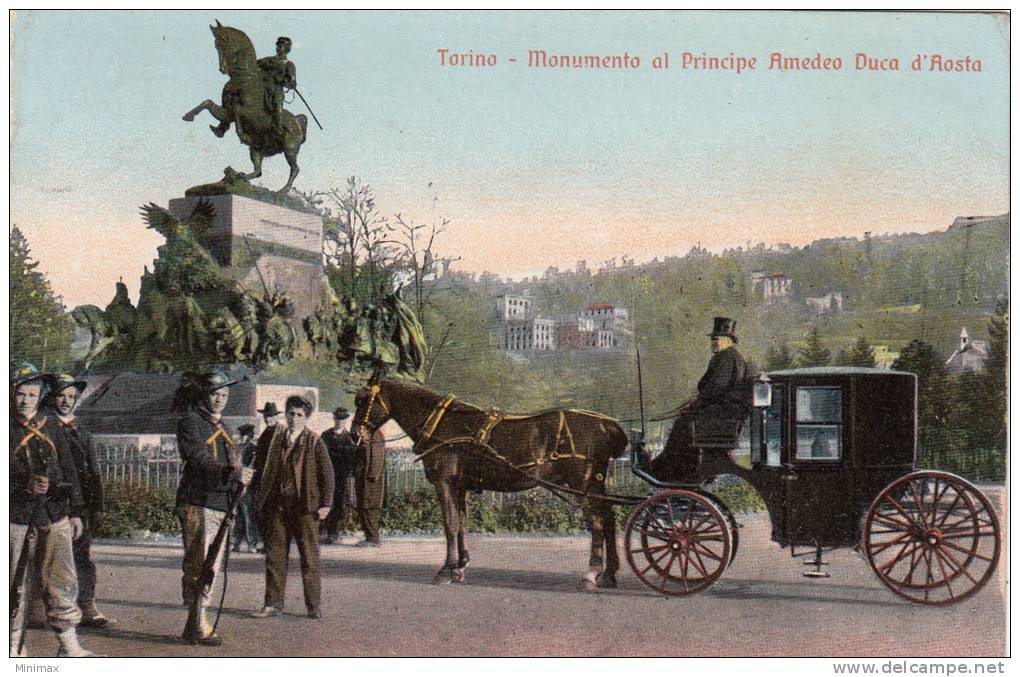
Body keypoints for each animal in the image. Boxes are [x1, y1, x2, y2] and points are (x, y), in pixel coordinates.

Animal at [182, 21, 306, 192]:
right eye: (216, 45)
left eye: (222, 42)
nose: (223, 69)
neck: (244, 77)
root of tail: (298, 122)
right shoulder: (226, 111)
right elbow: (208, 103)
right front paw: (192, 117)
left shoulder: (245, 112)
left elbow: (237, 112)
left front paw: (243, 136)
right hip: (257, 150)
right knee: (258, 171)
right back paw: (238, 176)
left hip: (290, 148)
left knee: (295, 168)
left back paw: (283, 190)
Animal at [352, 377, 628, 591]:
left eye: (363, 401)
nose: (355, 434)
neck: (442, 424)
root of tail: (606, 424)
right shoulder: (459, 486)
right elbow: (461, 525)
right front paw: (460, 567)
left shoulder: (444, 483)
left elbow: (450, 525)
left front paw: (446, 570)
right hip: (595, 486)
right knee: (609, 518)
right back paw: (609, 574)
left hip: (583, 485)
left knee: (597, 523)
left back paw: (591, 574)